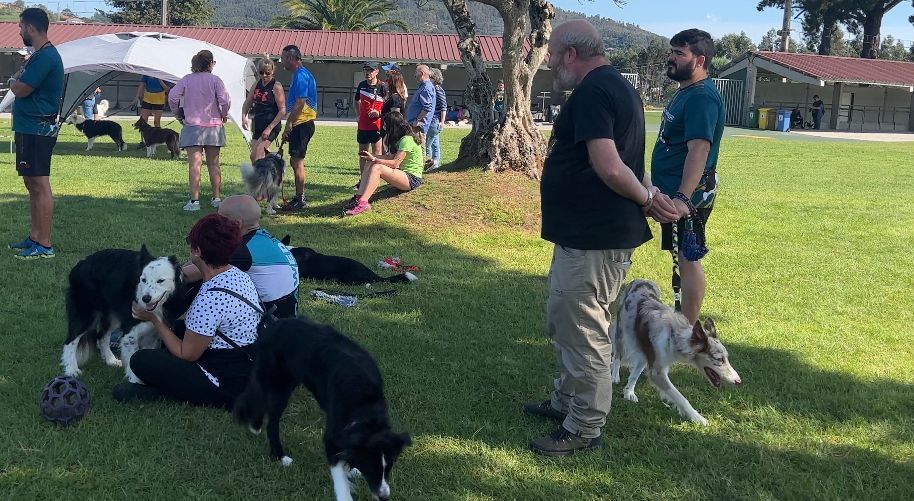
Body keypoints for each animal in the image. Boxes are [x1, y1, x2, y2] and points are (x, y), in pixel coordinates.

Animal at [604, 280, 740, 424]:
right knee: (617, 355)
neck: (674, 337)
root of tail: (640, 280)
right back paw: (615, 375)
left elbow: (635, 374)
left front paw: (628, 391)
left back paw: (630, 391)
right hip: (622, 332)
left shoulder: (653, 360)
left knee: (636, 368)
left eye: (726, 358)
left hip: (643, 347)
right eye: (719, 359)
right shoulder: (657, 372)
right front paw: (698, 418)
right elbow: (680, 397)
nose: (738, 381)